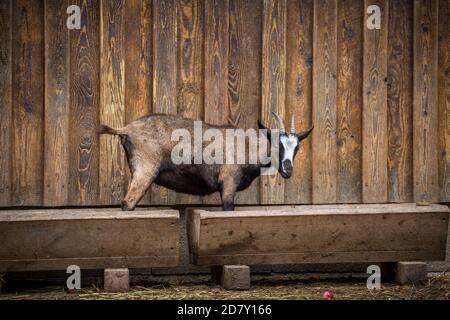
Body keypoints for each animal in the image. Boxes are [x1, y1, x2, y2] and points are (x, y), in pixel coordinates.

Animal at [97, 111, 312, 211]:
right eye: (278, 144)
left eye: (297, 147)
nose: (287, 170)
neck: (247, 146)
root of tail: (127, 129)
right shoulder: (228, 182)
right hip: (145, 168)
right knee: (128, 203)